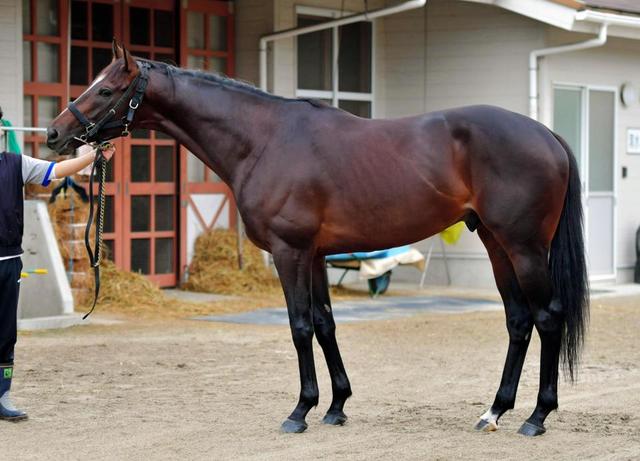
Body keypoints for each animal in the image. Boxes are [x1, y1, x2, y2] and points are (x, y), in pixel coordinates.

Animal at [46, 40, 588, 437]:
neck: (264, 140)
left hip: (524, 248)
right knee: (518, 321)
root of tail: (547, 135)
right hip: (496, 244)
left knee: (547, 317)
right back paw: (493, 412)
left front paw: (300, 412)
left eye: (105, 89)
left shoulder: (291, 253)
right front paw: (336, 407)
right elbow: (326, 324)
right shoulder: (317, 256)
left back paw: (537, 418)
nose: (54, 134)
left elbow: (300, 326)